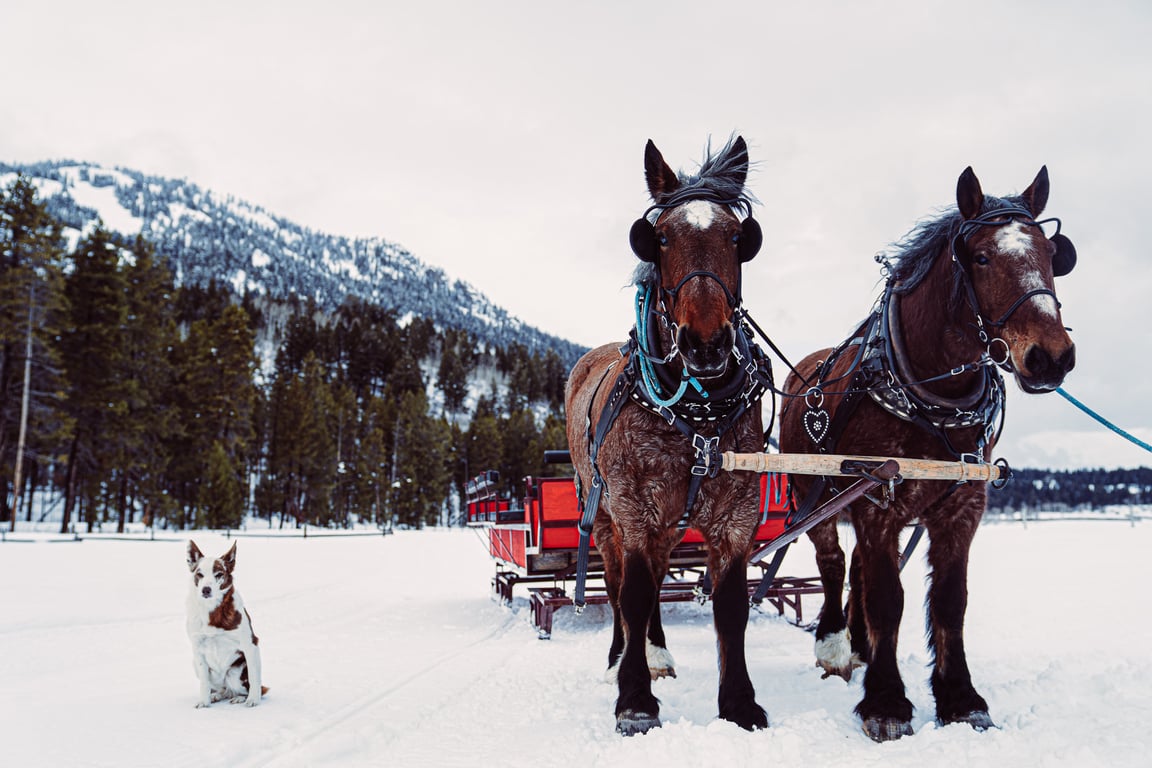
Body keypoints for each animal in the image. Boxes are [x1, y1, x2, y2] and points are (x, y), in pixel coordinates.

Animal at [184, 541, 264, 709]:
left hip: (235, 672)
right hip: (195, 664)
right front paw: (204, 701)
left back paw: (240, 697)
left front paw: (253, 699)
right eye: (199, 574)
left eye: (219, 574)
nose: (206, 590)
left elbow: (254, 677)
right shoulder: (197, 649)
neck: (212, 611)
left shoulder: (250, 645)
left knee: (247, 687)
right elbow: (204, 682)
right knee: (222, 690)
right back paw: (216, 695)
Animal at [566, 135, 774, 736]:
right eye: (658, 236)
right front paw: (634, 697)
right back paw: (624, 655)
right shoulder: (634, 508)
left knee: (655, 577)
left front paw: (739, 702)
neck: (696, 413)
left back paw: (656, 653)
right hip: (605, 515)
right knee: (619, 585)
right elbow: (632, 596)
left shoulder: (736, 515)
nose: (705, 343)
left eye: (738, 237)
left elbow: (731, 607)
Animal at [778, 165, 1073, 741]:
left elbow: (950, 601)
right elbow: (888, 598)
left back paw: (860, 644)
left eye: (1053, 254)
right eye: (981, 257)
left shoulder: (962, 507)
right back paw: (835, 646)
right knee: (833, 562)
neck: (932, 399)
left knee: (858, 570)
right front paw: (886, 702)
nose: (1051, 357)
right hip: (813, 495)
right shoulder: (878, 502)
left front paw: (960, 698)